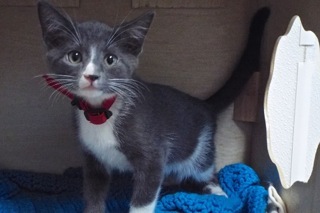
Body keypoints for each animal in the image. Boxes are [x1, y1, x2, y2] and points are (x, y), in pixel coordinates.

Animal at [37, 1, 268, 213]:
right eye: (74, 56)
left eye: (110, 59)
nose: (91, 76)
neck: (100, 111)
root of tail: (203, 104)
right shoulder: (93, 159)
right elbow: (94, 193)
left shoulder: (154, 155)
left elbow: (144, 197)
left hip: (199, 150)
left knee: (206, 169)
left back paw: (218, 193)